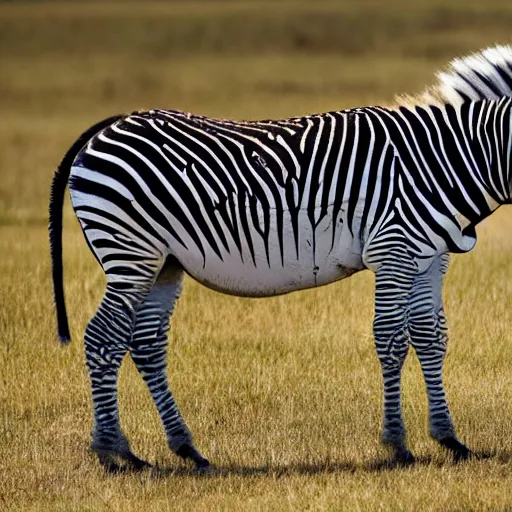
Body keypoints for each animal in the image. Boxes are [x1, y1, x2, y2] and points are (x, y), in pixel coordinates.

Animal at [51, 46, 512, 470]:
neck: (451, 159)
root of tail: (111, 124)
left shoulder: (428, 256)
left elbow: (431, 336)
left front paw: (450, 439)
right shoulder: (393, 248)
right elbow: (391, 339)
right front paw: (397, 444)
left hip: (163, 263)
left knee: (145, 343)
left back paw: (186, 449)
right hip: (131, 251)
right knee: (103, 337)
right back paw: (113, 452)